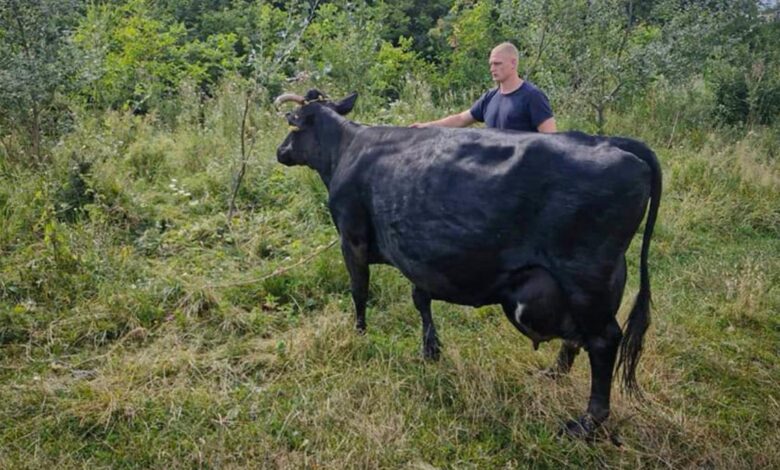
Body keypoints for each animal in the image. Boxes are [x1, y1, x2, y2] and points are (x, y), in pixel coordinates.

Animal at [274, 89, 662, 438]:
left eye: (294, 125)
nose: (280, 151)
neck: (346, 148)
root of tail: (610, 142)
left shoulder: (351, 236)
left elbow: (359, 290)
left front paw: (359, 335)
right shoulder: (417, 252)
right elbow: (420, 299)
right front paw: (430, 350)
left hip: (585, 278)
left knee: (603, 341)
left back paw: (586, 423)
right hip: (599, 283)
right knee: (582, 337)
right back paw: (553, 375)